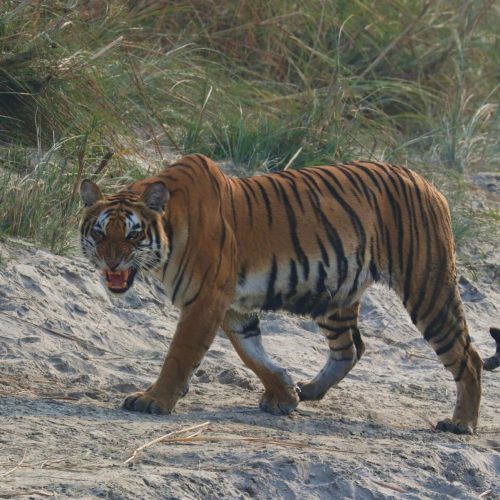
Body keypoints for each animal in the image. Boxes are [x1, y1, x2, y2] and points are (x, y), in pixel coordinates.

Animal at [80, 152, 498, 434]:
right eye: (99, 233)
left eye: (132, 235)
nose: (111, 262)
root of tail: (426, 181)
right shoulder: (232, 307)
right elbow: (252, 355)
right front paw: (284, 395)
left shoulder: (206, 300)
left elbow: (180, 355)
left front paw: (154, 400)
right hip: (336, 294)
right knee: (350, 348)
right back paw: (310, 389)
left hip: (427, 288)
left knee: (468, 357)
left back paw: (461, 423)